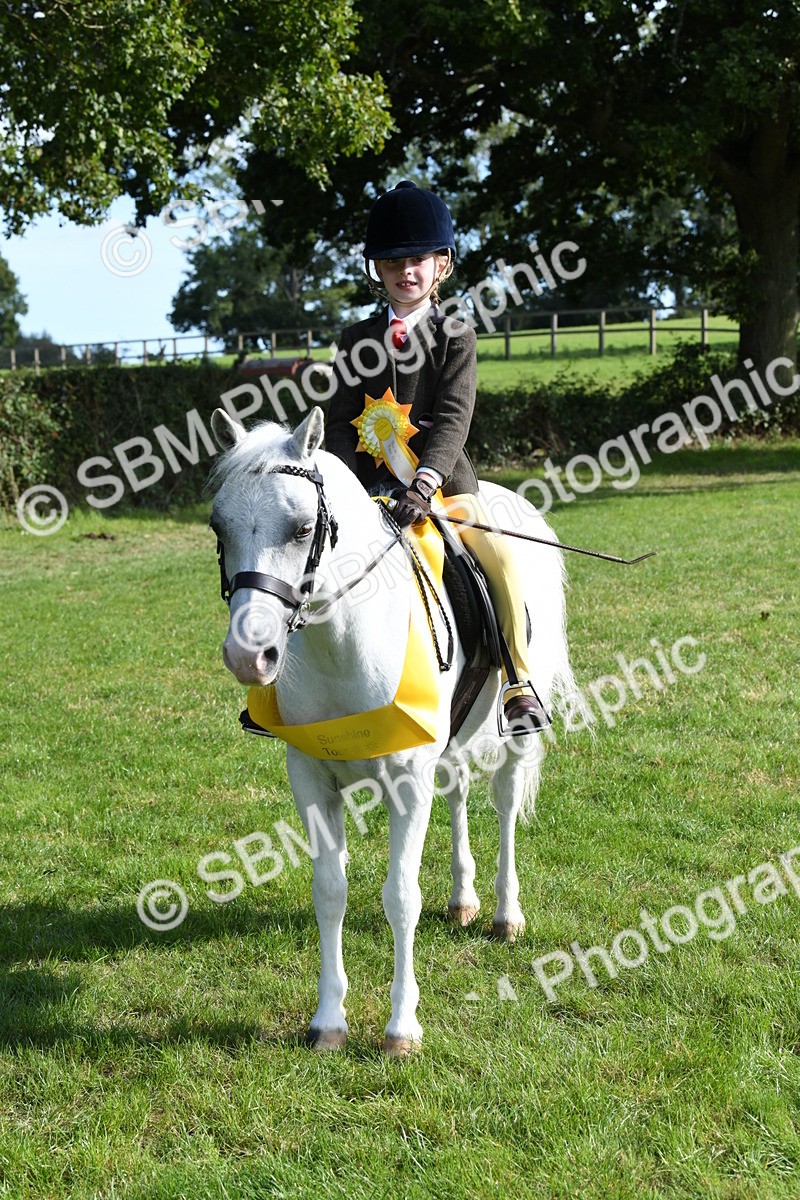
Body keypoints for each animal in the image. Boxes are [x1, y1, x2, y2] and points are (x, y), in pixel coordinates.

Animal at [208, 405, 582, 1055]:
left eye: (302, 528)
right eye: (218, 527)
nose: (248, 656)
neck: (342, 646)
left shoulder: (407, 780)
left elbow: (400, 896)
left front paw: (402, 1027)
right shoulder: (311, 778)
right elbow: (329, 891)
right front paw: (328, 1020)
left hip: (516, 731)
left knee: (506, 801)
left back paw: (505, 914)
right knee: (457, 791)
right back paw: (462, 900)